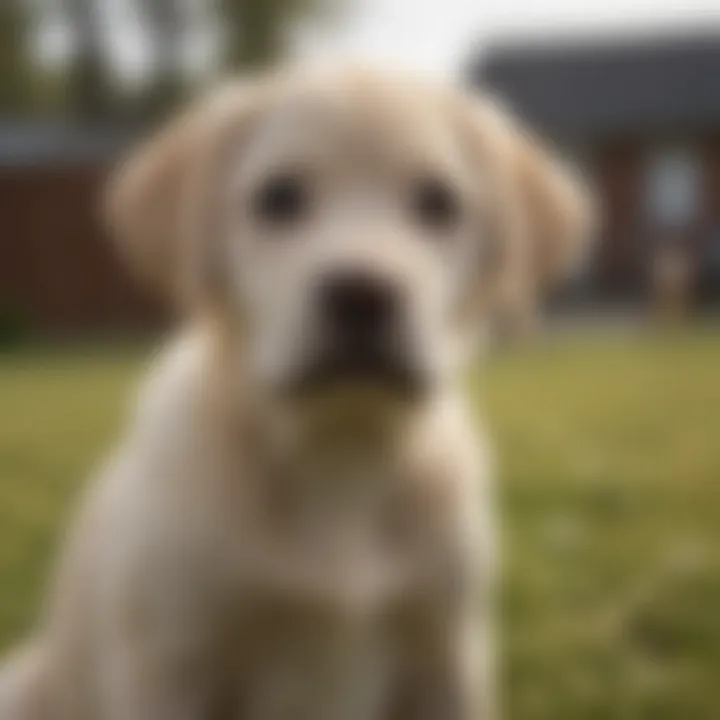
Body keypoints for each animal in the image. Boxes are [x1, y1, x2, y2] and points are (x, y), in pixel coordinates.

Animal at [0, 69, 592, 720]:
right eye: (278, 198)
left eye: (438, 203)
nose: (363, 293)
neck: (338, 451)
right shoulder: (169, 665)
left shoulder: (446, 658)